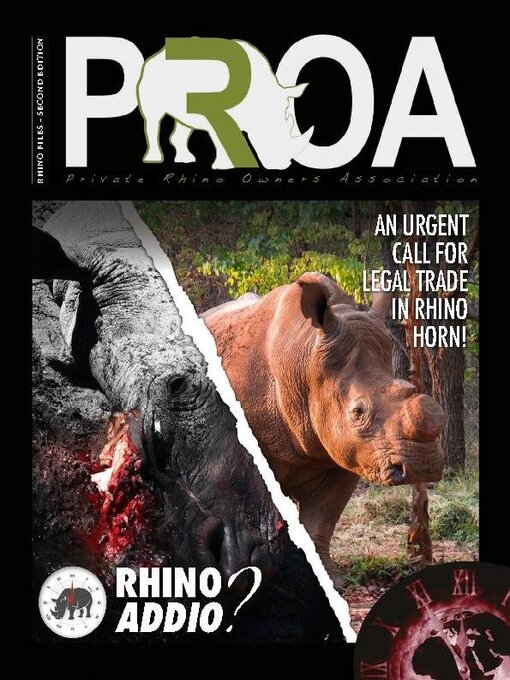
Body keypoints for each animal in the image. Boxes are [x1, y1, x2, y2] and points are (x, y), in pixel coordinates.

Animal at [137, 40, 313, 169]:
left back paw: (186, 160)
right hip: (151, 76)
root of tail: (158, 54)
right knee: (153, 117)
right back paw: (154, 160)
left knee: (184, 121)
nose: (282, 166)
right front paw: (223, 167)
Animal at [202, 272, 446, 588]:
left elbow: (321, 521)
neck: (306, 362)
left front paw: (327, 580)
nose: (422, 465)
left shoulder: (349, 451)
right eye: (358, 412)